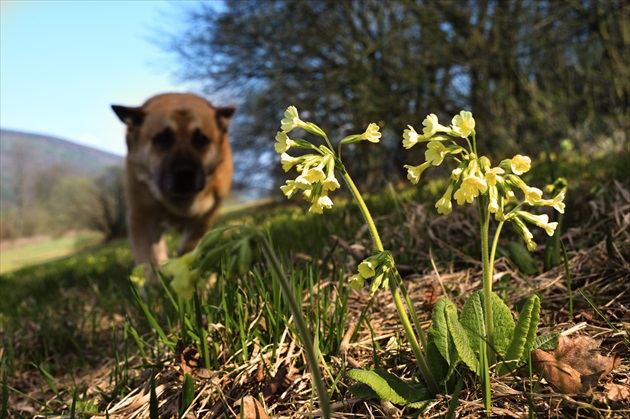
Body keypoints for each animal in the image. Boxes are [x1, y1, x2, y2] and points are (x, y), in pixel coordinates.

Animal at [112, 92, 236, 272]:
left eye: (201, 139)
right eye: (162, 138)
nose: (184, 173)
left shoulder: (207, 213)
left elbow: (191, 243)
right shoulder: (142, 216)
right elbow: (151, 259)